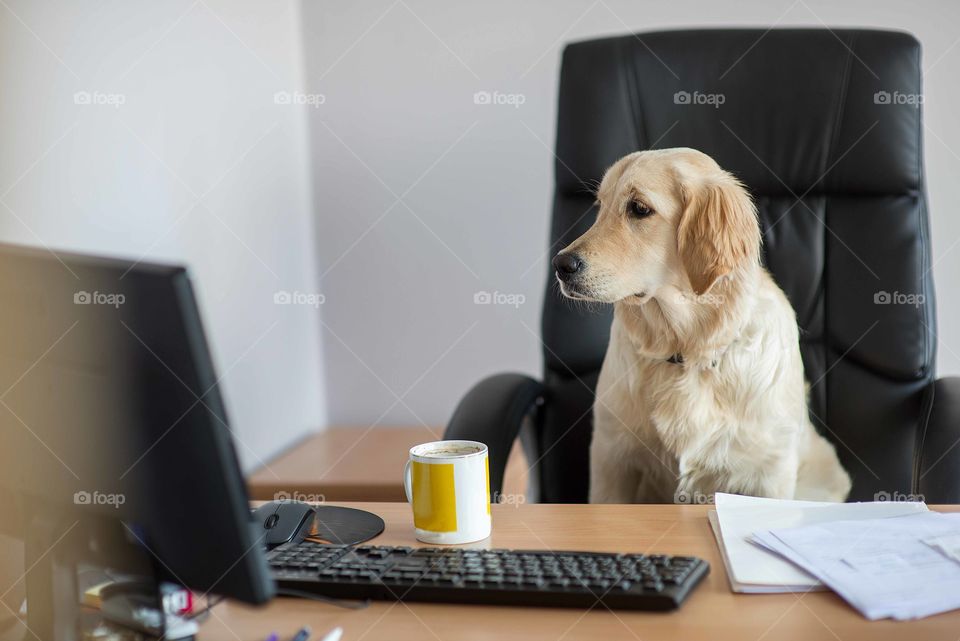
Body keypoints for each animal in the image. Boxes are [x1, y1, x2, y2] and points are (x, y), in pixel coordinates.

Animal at [552, 148, 852, 502]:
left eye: (639, 208)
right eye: (600, 206)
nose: (560, 265)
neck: (688, 351)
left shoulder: (769, 473)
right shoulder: (611, 459)